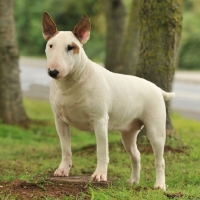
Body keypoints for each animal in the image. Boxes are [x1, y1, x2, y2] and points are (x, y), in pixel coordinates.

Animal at [42, 11, 175, 190]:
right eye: (50, 45)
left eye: (71, 47)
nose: (53, 72)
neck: (70, 83)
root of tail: (158, 89)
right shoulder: (60, 121)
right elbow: (65, 148)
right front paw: (63, 170)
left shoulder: (99, 121)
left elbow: (102, 151)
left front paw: (99, 175)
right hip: (128, 132)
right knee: (136, 155)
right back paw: (133, 181)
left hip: (155, 130)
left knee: (160, 159)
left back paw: (160, 185)